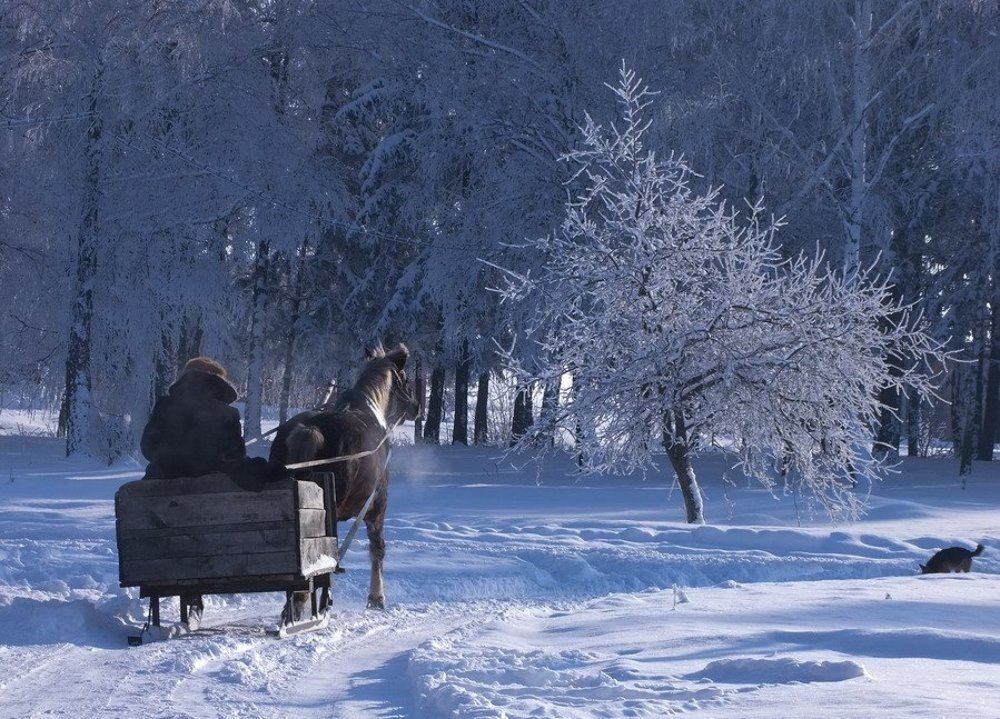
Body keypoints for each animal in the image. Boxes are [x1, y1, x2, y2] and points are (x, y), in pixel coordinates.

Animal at [268, 342, 420, 608]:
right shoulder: (377, 506)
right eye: (406, 378)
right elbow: (377, 548)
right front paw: (377, 598)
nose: (417, 407)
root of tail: (310, 430)